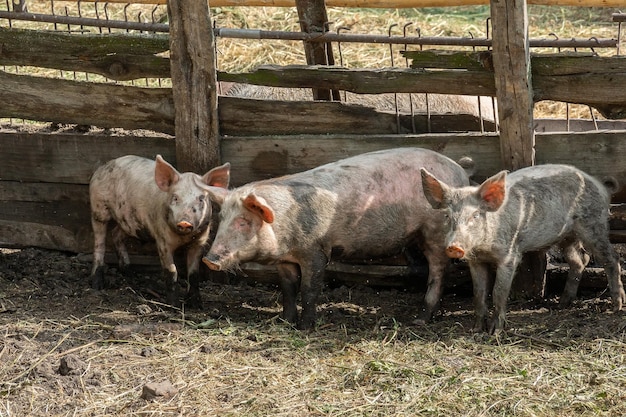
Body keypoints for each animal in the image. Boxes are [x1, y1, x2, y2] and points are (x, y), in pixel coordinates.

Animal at [89, 154, 230, 308]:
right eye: (175, 198)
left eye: (201, 199)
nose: (185, 221)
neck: (184, 237)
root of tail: (104, 166)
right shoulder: (162, 240)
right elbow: (171, 271)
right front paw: (174, 306)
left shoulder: (199, 242)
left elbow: (194, 274)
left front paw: (197, 305)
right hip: (98, 209)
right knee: (99, 243)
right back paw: (97, 285)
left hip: (129, 221)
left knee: (115, 234)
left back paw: (129, 272)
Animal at [197, 148, 470, 330]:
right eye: (221, 220)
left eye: (244, 221)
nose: (209, 260)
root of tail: (459, 171)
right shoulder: (285, 260)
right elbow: (287, 288)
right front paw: (285, 321)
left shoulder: (316, 251)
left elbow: (309, 289)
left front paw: (305, 328)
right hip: (415, 236)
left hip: (435, 232)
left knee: (439, 271)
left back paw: (420, 319)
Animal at [420, 164, 624, 334]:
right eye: (447, 216)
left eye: (476, 215)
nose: (454, 247)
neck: (484, 248)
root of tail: (602, 187)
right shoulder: (475, 261)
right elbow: (478, 294)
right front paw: (476, 330)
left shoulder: (509, 256)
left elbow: (498, 291)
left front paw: (494, 332)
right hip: (567, 236)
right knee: (580, 260)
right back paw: (562, 304)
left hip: (594, 226)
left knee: (611, 259)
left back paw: (617, 306)